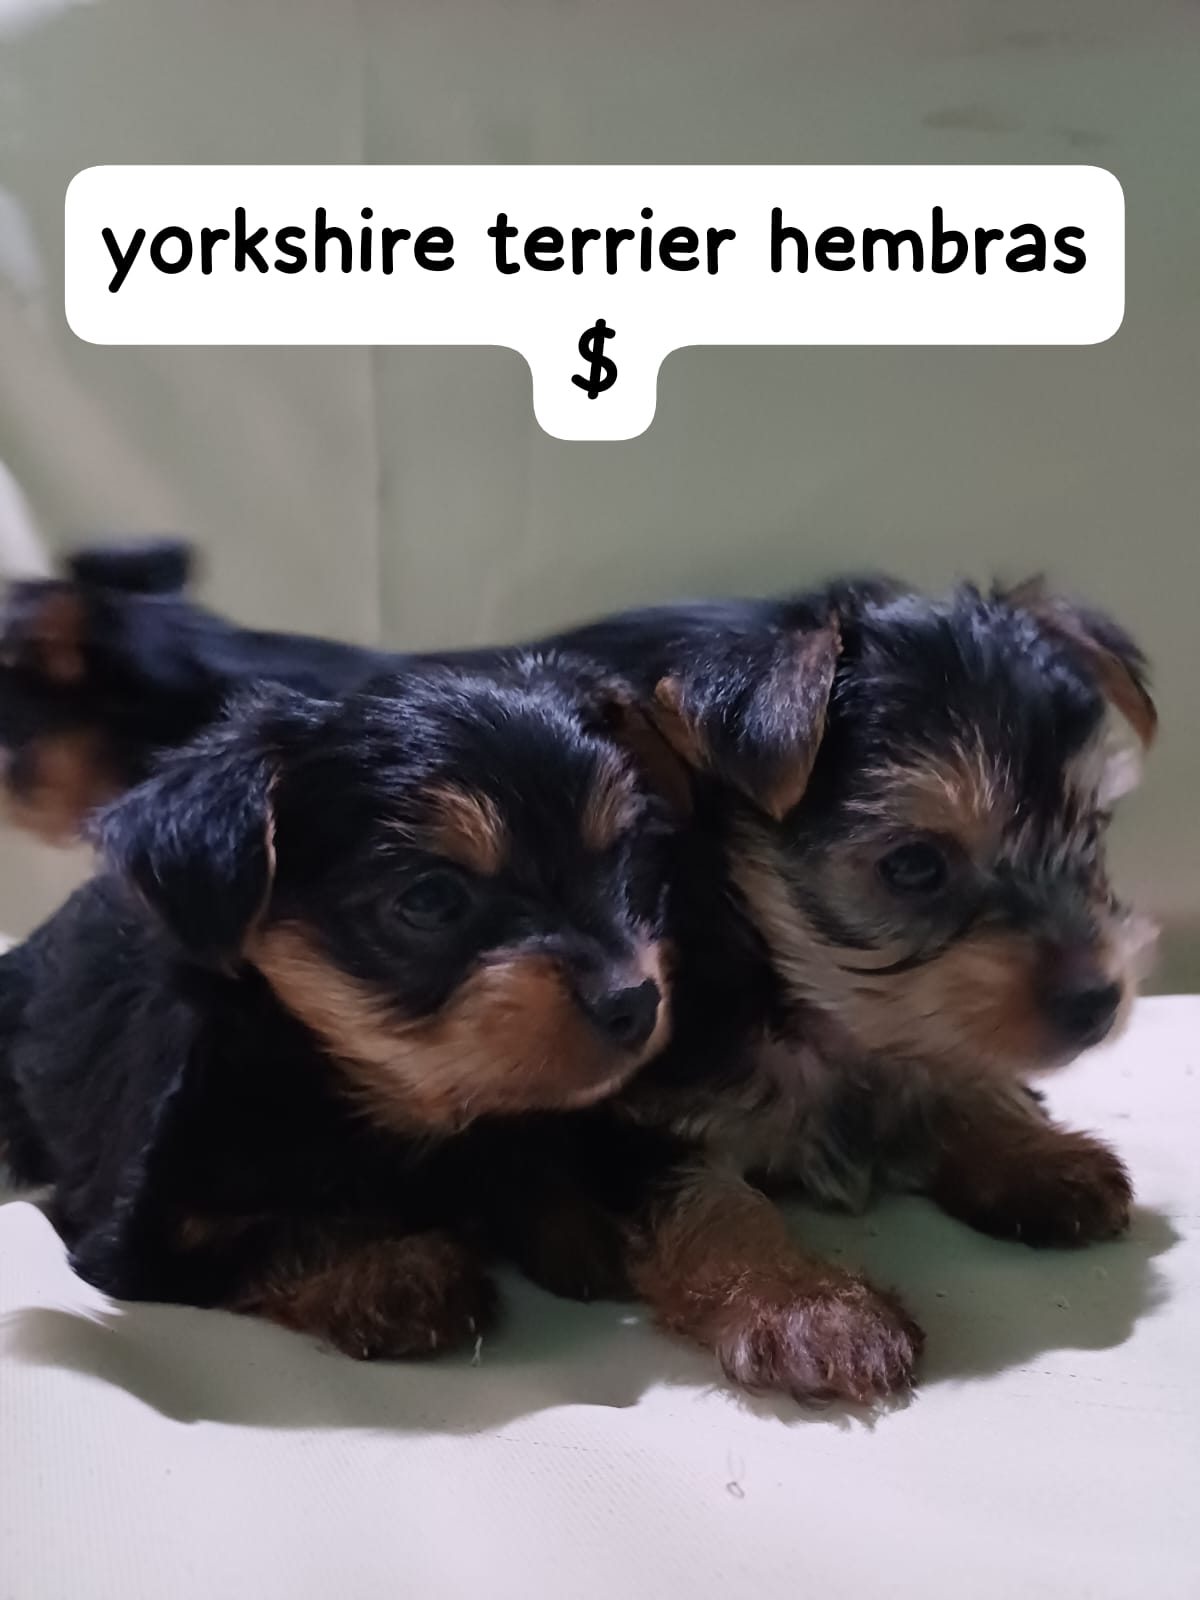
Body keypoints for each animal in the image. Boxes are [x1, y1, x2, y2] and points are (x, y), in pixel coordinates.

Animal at [0, 653, 676, 1359]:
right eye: (431, 899)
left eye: (625, 862)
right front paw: (402, 1275)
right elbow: (287, 1231)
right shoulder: (143, 1240)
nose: (633, 1002)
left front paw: (581, 1226)